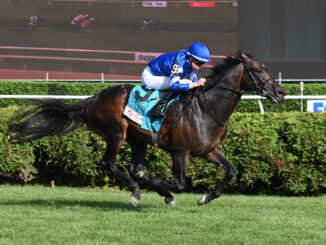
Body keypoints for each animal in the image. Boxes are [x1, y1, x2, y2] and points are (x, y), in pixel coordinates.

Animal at [8, 51, 286, 207]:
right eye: (258, 69)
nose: (280, 92)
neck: (207, 108)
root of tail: (93, 98)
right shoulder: (180, 152)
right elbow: (179, 185)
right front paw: (166, 192)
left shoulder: (208, 151)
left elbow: (231, 171)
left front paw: (206, 197)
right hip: (116, 134)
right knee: (108, 163)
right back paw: (135, 191)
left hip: (137, 139)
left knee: (135, 166)